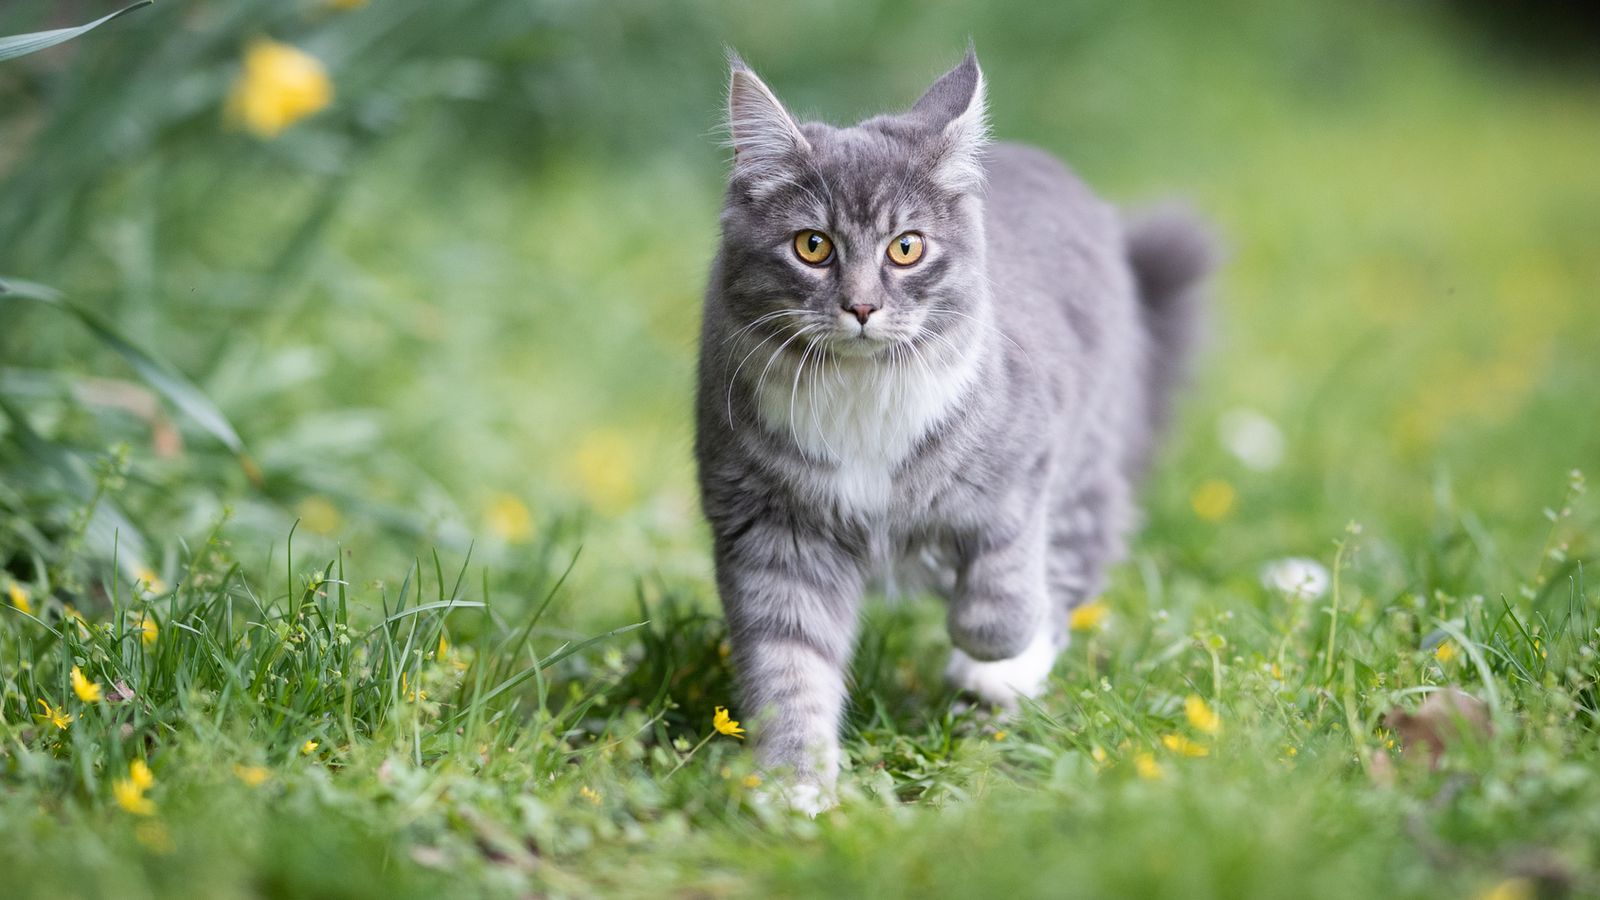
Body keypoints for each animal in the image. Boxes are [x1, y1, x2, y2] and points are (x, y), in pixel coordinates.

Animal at [694, 47, 1216, 807]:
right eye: (813, 246)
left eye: (906, 249)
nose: (861, 307)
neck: (863, 394)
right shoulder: (770, 529)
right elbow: (790, 667)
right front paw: (796, 789)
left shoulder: (1026, 459)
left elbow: (1003, 589)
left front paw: (990, 651)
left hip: (1087, 460)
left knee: (1068, 564)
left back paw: (999, 677)